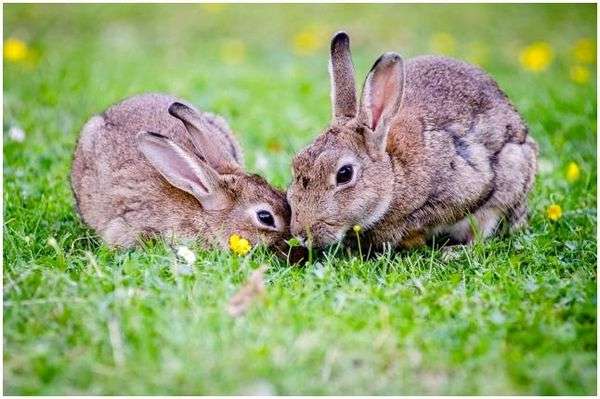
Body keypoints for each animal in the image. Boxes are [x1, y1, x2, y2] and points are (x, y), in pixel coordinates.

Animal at [288, 32, 540, 250]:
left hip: (511, 174)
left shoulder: (466, 188)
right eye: (296, 164)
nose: (301, 234)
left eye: (344, 174)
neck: (393, 175)